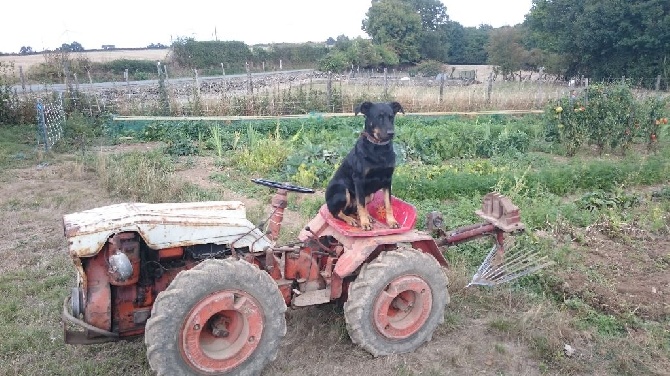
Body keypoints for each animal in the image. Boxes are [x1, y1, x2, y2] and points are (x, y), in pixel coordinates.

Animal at [326, 101, 404, 229]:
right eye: (379, 117)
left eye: (391, 117)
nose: (391, 133)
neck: (379, 149)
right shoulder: (359, 180)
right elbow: (361, 205)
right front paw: (365, 223)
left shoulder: (388, 180)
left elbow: (388, 204)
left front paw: (391, 221)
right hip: (342, 190)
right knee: (337, 213)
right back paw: (351, 219)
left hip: (370, 195)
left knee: (352, 209)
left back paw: (363, 217)